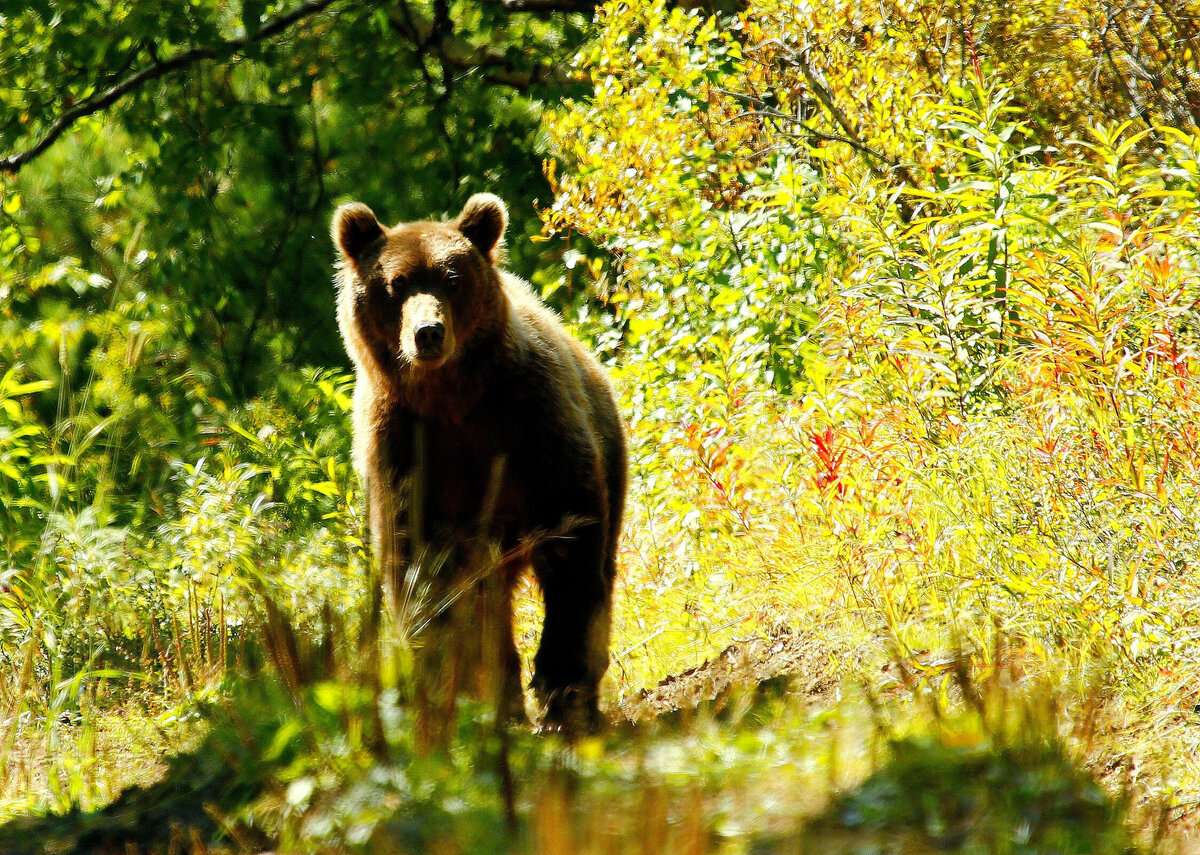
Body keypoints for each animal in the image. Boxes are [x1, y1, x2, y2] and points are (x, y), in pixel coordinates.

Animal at [331, 196, 628, 730]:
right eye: (396, 284)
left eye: (452, 278)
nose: (428, 333)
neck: (451, 398)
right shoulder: (404, 449)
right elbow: (420, 571)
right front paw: (451, 687)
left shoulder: (527, 418)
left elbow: (570, 537)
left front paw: (560, 685)